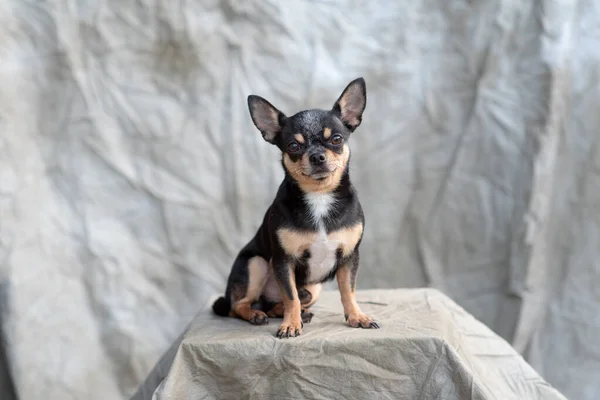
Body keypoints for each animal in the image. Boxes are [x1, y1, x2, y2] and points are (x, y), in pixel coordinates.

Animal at [212, 76, 380, 338]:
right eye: (293, 146)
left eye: (336, 139)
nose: (317, 156)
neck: (319, 196)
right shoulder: (283, 262)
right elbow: (291, 295)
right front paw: (290, 325)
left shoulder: (349, 258)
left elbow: (348, 291)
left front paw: (357, 317)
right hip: (256, 264)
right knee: (238, 305)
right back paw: (257, 314)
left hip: (315, 287)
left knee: (295, 298)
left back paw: (296, 313)